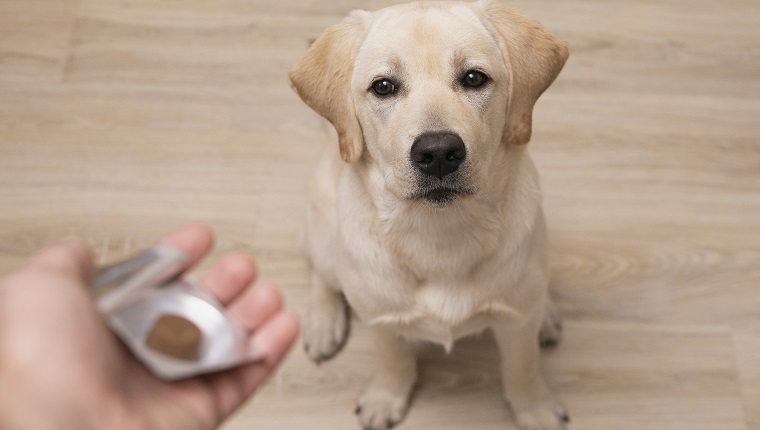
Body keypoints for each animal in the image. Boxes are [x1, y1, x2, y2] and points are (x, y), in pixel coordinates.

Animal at [290, 1, 568, 428]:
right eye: (383, 86)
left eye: (474, 78)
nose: (438, 152)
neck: (442, 234)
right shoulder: (383, 321)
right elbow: (395, 362)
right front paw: (386, 397)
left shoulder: (516, 324)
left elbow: (522, 367)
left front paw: (534, 408)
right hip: (322, 233)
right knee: (324, 275)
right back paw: (323, 322)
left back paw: (548, 314)